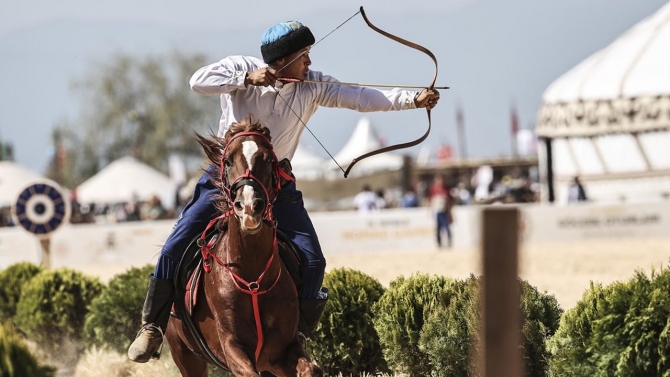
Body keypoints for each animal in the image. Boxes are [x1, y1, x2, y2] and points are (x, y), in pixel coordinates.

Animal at [165, 116, 322, 374]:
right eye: (228, 161)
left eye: (268, 160)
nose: (249, 205)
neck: (253, 279)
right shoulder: (232, 347)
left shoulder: (283, 351)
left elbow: (310, 369)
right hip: (184, 354)